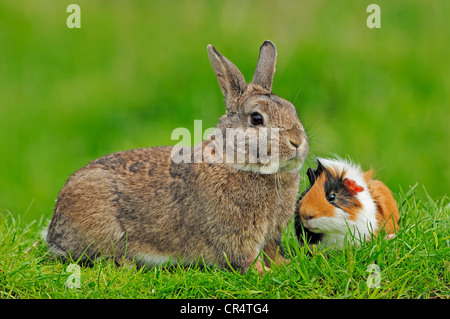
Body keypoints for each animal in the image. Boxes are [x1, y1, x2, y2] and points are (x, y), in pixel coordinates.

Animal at [44, 40, 310, 276]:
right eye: (256, 118)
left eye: (292, 110)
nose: (297, 141)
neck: (237, 162)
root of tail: (54, 229)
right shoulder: (237, 235)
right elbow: (246, 260)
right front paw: (264, 273)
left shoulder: (271, 235)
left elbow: (272, 253)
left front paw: (287, 265)